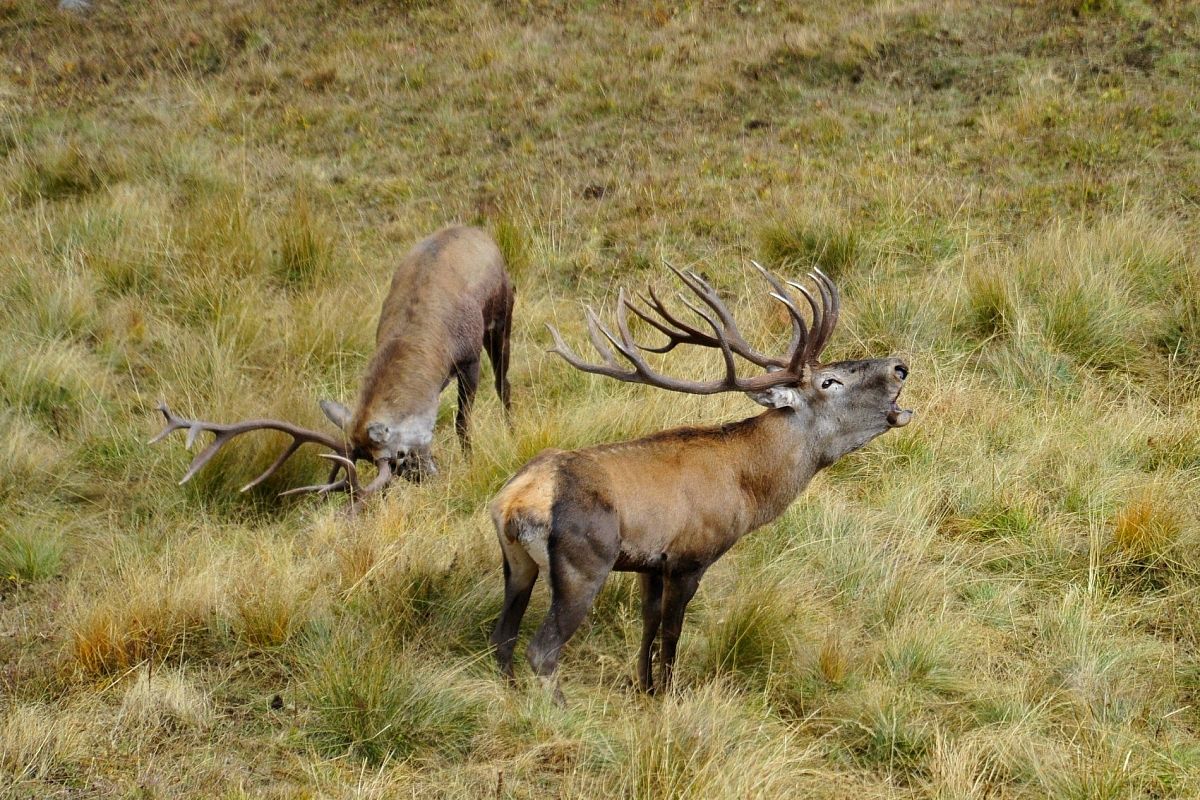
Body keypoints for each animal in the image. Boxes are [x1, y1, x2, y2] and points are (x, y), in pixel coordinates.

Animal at [152, 225, 513, 513]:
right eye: (397, 464)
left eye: (399, 455)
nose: (430, 480)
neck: (428, 344)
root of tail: (479, 232)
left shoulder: (468, 357)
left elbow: (462, 421)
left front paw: (471, 462)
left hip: (504, 315)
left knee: (503, 383)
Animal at [487, 263, 907, 700]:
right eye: (829, 382)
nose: (899, 366)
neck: (749, 490)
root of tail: (514, 502)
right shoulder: (690, 555)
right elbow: (672, 632)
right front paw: (668, 694)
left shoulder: (649, 564)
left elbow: (649, 623)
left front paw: (645, 687)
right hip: (584, 562)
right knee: (541, 649)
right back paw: (559, 705)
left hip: (517, 563)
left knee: (502, 637)